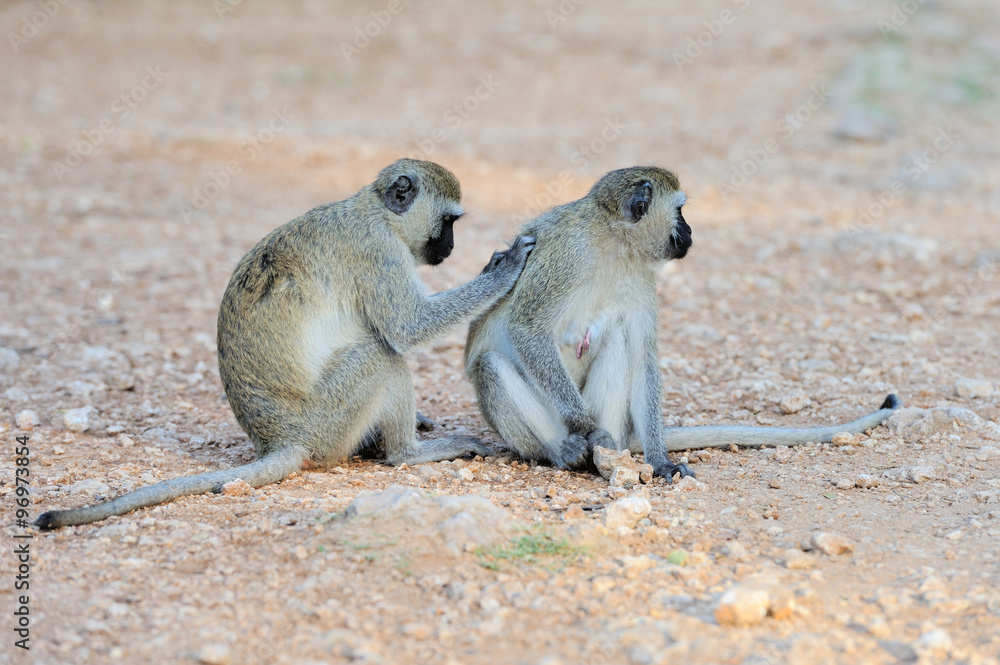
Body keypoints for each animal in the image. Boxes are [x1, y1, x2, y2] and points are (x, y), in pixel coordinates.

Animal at [36, 158, 535, 529]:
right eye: (448, 222)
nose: (449, 248)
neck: (376, 213)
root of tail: (280, 437)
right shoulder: (378, 252)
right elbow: (406, 328)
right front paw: (504, 269)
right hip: (328, 420)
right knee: (380, 355)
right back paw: (406, 453)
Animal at [464, 166, 900, 480]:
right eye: (680, 211)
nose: (691, 231)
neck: (614, 243)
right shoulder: (566, 253)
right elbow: (528, 328)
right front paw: (585, 426)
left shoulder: (641, 277)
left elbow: (643, 358)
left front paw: (660, 460)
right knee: (490, 366)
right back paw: (565, 450)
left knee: (620, 340)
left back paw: (608, 452)